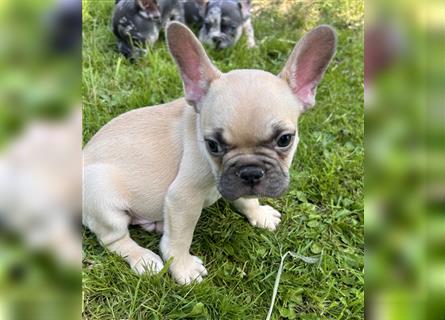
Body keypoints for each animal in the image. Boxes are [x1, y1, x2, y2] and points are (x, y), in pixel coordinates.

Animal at [82, 21, 332, 282]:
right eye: (212, 145)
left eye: (285, 139)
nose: (250, 171)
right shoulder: (183, 198)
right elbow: (180, 238)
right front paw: (183, 267)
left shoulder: (235, 184)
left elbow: (246, 199)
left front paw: (258, 213)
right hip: (102, 193)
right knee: (113, 239)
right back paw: (143, 259)